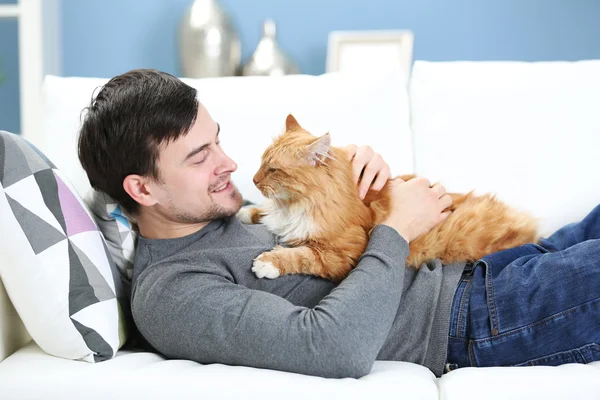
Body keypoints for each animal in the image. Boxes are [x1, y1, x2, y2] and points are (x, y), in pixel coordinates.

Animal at [238, 112, 540, 282]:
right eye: (261, 162)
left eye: (273, 170)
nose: (253, 180)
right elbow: (263, 211)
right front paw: (244, 212)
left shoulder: (343, 254)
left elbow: (300, 256)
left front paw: (268, 263)